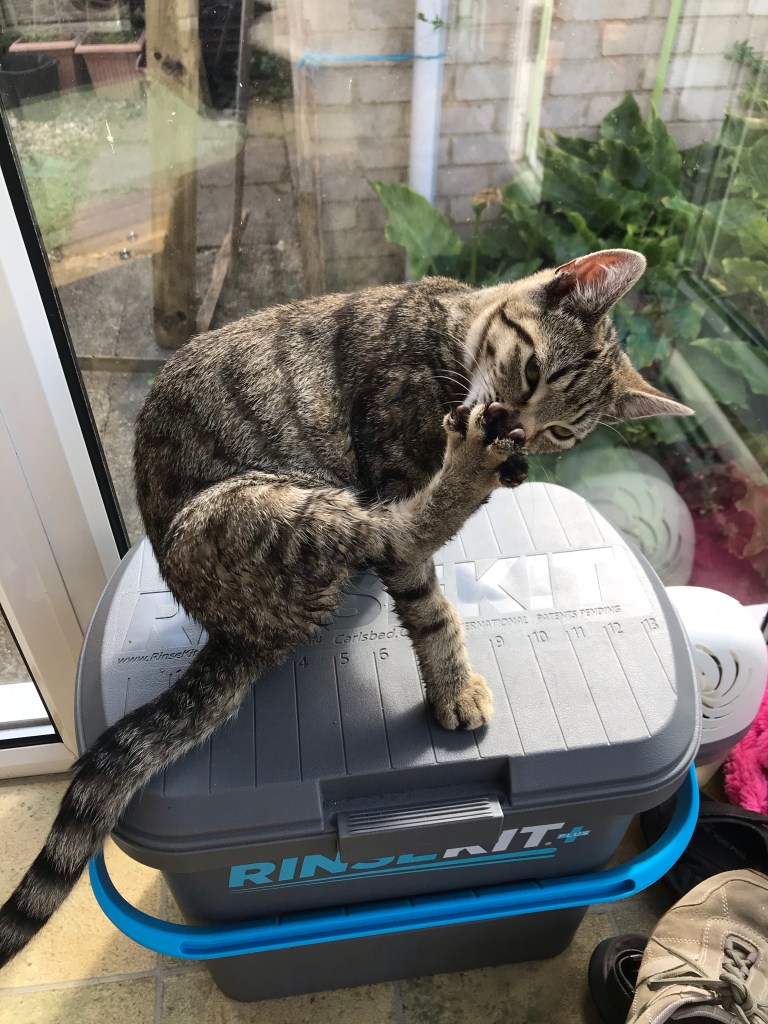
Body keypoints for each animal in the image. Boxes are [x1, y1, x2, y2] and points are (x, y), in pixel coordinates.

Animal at [0, 248, 692, 967]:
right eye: (532, 372)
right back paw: (468, 473)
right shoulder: (391, 465)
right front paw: (453, 687)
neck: (453, 330)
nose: (513, 428)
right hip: (269, 507)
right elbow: (427, 601)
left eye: (558, 428)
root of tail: (234, 631)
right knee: (395, 531)